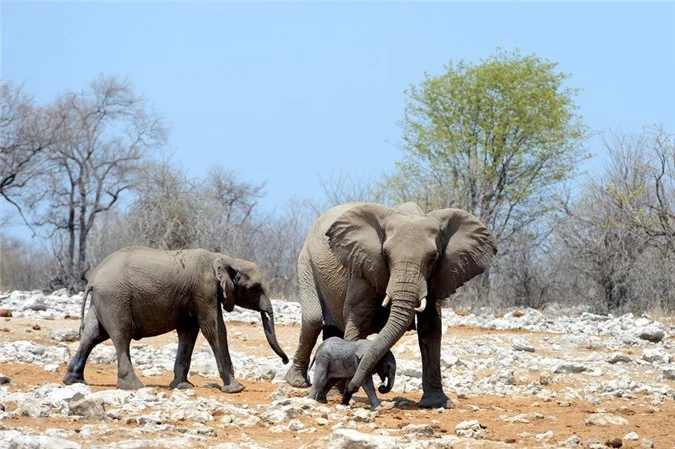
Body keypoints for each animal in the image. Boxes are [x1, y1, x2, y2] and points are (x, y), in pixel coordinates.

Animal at [64, 245, 292, 392]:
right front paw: (235, 389)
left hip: (102, 301)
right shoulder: (205, 290)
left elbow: (189, 332)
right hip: (115, 298)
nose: (285, 360)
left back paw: (74, 382)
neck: (225, 258)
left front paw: (182, 386)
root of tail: (93, 278)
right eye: (255, 289)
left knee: (93, 335)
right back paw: (133, 386)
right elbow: (214, 329)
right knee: (121, 335)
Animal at [286, 201, 496, 408]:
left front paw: (436, 403)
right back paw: (299, 383)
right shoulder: (364, 266)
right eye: (386, 256)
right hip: (306, 263)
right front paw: (348, 392)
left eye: (433, 258)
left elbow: (431, 327)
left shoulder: (437, 277)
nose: (382, 387)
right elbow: (358, 320)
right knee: (313, 320)